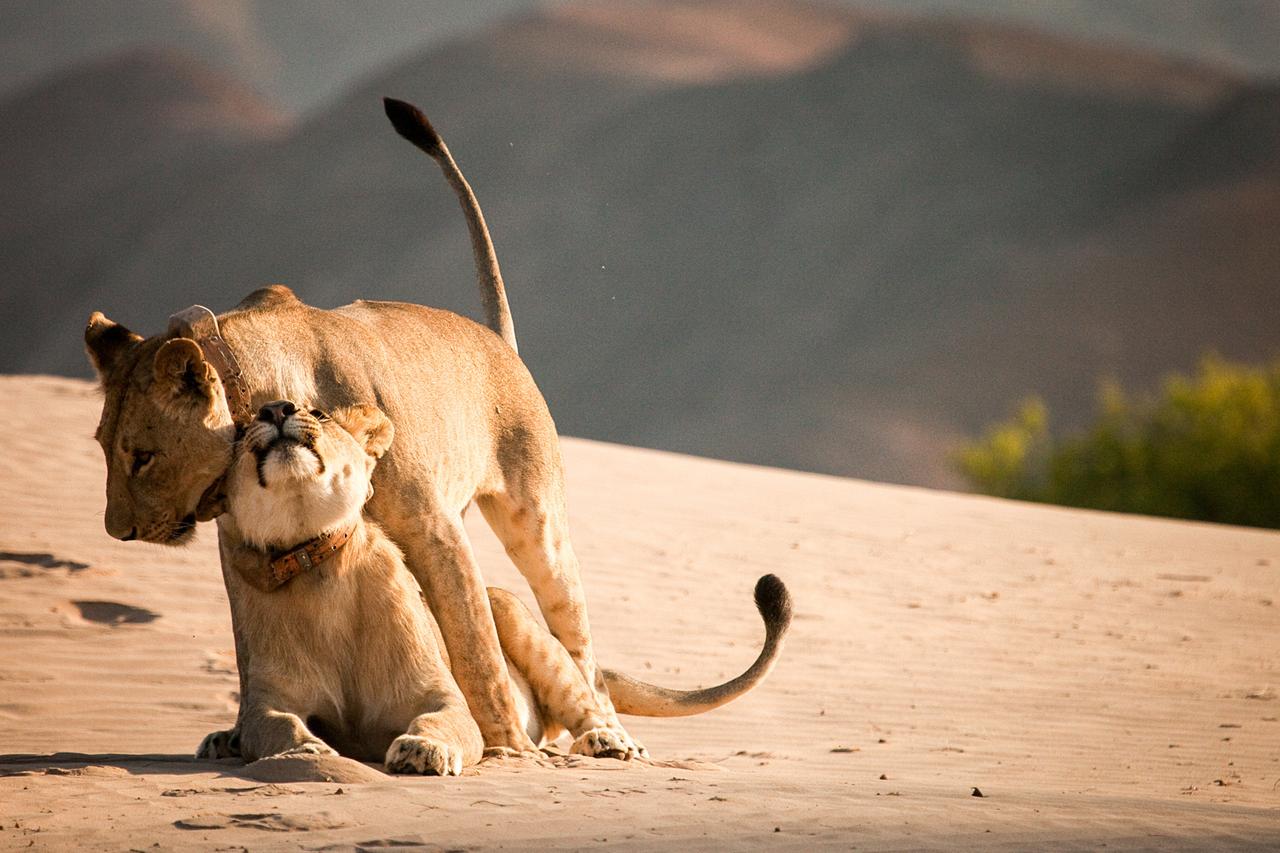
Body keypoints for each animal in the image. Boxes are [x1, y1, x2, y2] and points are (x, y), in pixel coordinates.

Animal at [84, 98, 638, 758]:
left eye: (141, 456)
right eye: (104, 449)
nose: (117, 531)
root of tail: (496, 341)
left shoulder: (436, 532)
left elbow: (475, 651)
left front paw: (503, 744)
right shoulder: (238, 540)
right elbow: (253, 645)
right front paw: (250, 732)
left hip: (540, 528)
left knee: (580, 655)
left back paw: (606, 737)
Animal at [196, 399, 791, 774]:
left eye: (316, 411)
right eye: (245, 423)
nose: (276, 410)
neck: (314, 566)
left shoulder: (442, 695)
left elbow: (445, 722)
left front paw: (421, 751)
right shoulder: (269, 701)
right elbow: (275, 726)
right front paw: (305, 753)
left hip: (514, 617)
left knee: (585, 697)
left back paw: (608, 743)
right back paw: (219, 741)